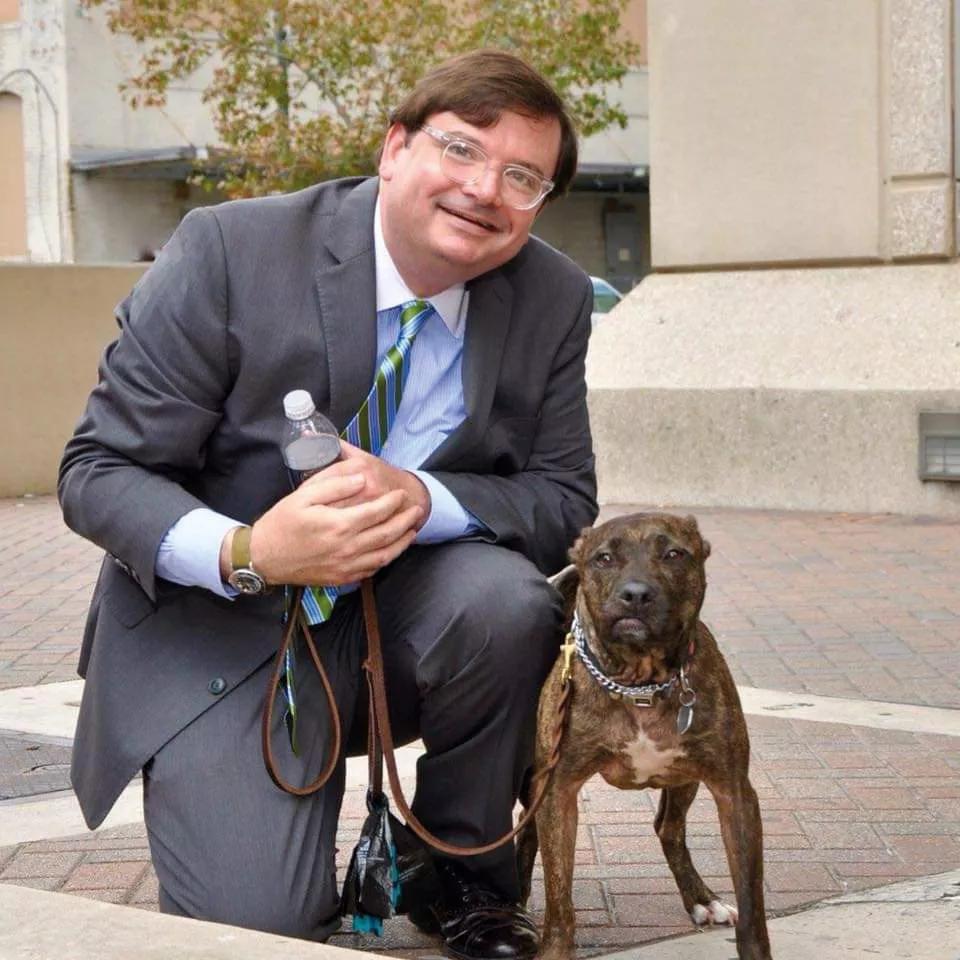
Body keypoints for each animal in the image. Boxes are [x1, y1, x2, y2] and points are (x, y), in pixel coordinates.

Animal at [516, 512, 772, 956]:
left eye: (673, 554)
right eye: (603, 558)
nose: (636, 594)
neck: (640, 681)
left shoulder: (734, 792)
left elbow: (751, 900)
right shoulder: (557, 791)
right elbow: (559, 896)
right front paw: (554, 948)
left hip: (685, 776)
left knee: (668, 828)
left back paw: (702, 899)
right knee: (527, 833)